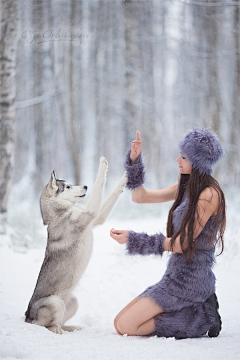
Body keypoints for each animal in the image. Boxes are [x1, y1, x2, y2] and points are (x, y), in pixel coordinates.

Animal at [24, 158, 127, 334]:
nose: (85, 186)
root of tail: (26, 316)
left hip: (73, 302)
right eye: (68, 187)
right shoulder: (91, 212)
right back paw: (54, 329)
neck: (59, 211)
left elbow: (113, 192)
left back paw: (71, 327)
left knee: (61, 322)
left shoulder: (96, 217)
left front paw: (126, 177)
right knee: (41, 325)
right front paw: (102, 164)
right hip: (55, 302)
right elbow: (99, 182)